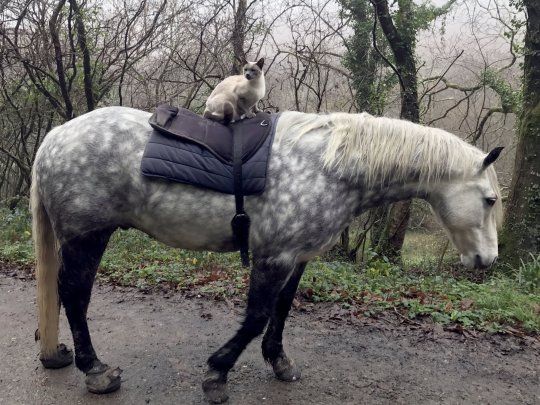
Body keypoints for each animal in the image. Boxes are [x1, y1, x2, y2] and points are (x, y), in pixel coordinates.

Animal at [30, 106, 502, 400]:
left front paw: (279, 361)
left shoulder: (296, 256)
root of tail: (54, 136)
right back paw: (95, 370)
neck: (328, 167)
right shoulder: (273, 257)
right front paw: (217, 373)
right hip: (87, 236)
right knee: (73, 295)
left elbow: (282, 309)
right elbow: (257, 316)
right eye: (491, 199)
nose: (487, 260)